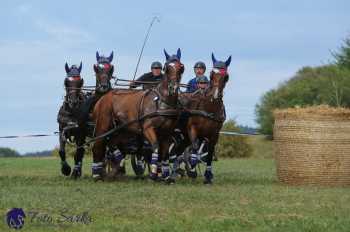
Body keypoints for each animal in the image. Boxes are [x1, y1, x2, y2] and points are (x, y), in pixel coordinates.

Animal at [90, 48, 185, 182]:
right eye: (167, 68)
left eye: (181, 67)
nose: (173, 88)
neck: (162, 101)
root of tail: (103, 97)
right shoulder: (147, 128)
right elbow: (155, 146)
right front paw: (153, 175)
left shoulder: (167, 132)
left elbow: (165, 153)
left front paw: (166, 177)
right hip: (103, 125)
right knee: (98, 145)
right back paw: (97, 175)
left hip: (121, 130)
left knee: (111, 144)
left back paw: (115, 170)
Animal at [169, 53, 230, 184]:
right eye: (212, 74)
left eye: (226, 77)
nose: (215, 95)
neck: (209, 109)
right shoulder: (192, 129)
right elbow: (194, 148)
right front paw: (192, 170)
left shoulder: (214, 134)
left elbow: (210, 152)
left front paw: (208, 176)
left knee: (178, 150)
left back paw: (176, 171)